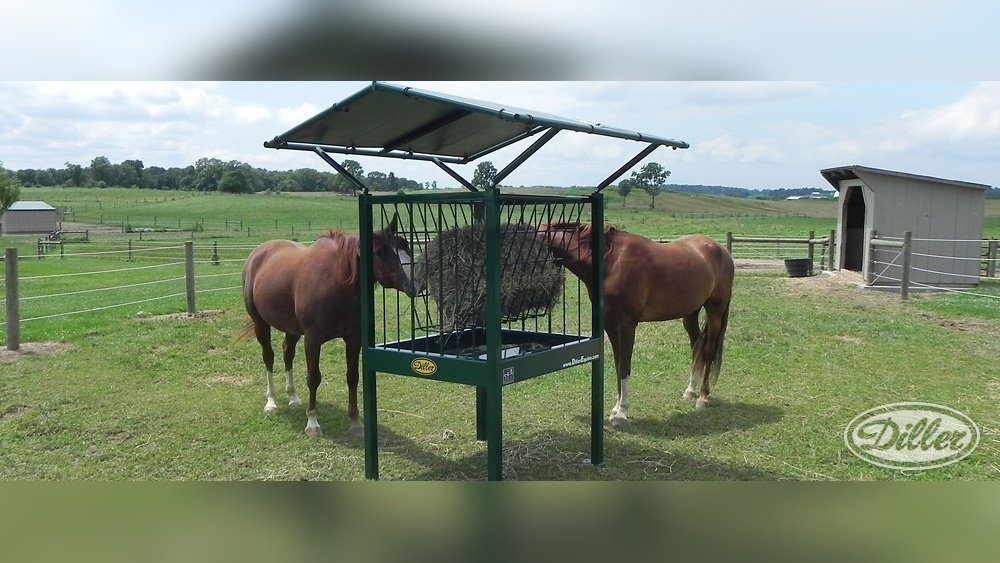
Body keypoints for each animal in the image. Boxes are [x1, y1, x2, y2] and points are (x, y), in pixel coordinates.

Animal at [241, 214, 415, 437]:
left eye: (406, 246)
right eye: (379, 252)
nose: (415, 283)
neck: (337, 282)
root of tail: (257, 254)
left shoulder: (354, 338)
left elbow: (352, 376)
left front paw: (356, 422)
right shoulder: (312, 340)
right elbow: (313, 378)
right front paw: (312, 423)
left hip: (292, 329)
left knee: (287, 353)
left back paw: (293, 397)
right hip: (260, 324)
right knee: (268, 357)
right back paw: (271, 401)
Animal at [537, 221, 734, 425]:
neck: (611, 262)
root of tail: (723, 251)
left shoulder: (627, 326)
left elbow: (624, 366)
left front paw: (621, 413)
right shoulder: (611, 326)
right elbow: (618, 366)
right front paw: (616, 409)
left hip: (715, 312)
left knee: (709, 350)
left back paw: (702, 397)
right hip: (690, 313)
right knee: (696, 346)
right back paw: (690, 391)